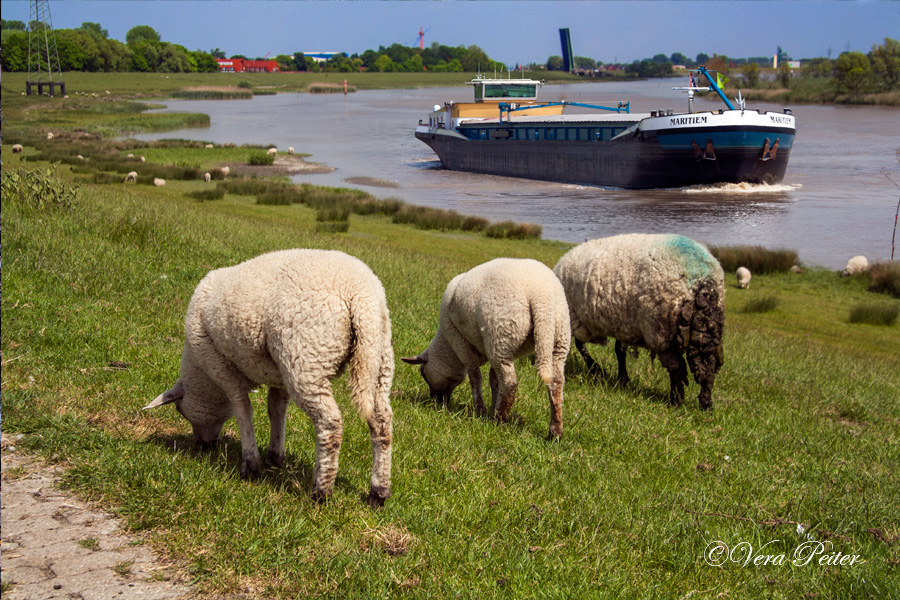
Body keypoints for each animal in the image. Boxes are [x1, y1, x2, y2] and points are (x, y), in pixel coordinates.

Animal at [144, 248, 394, 506]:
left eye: (180, 411)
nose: (203, 445)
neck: (202, 376)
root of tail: (360, 296)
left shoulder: (221, 367)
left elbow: (243, 410)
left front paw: (251, 465)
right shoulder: (279, 373)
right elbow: (276, 409)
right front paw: (275, 455)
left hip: (307, 358)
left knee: (330, 424)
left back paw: (322, 491)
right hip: (378, 358)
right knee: (382, 422)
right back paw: (378, 492)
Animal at [402, 258, 568, 440]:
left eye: (423, 374)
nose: (436, 401)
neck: (448, 348)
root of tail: (540, 295)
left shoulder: (461, 343)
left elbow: (475, 378)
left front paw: (481, 410)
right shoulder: (491, 349)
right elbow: (494, 380)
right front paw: (492, 405)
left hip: (501, 333)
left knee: (509, 383)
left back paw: (499, 420)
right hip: (554, 339)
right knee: (556, 382)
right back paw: (555, 432)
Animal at [552, 232, 728, 410]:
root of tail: (701, 279)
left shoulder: (581, 318)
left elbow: (586, 346)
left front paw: (601, 371)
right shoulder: (623, 323)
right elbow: (619, 351)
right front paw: (622, 379)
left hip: (661, 328)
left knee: (676, 366)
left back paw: (675, 401)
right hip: (705, 328)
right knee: (708, 365)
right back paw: (706, 405)